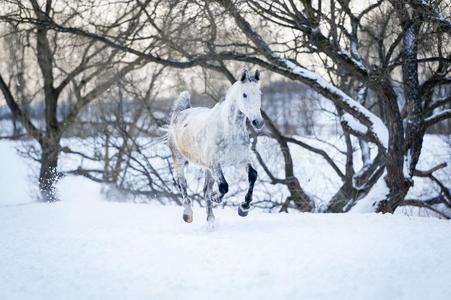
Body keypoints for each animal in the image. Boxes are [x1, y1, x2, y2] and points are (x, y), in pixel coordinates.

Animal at [168, 69, 264, 223]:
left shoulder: (240, 160)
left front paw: (244, 208)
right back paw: (188, 214)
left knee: (205, 190)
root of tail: (180, 113)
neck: (229, 130)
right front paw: (216, 198)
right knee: (182, 183)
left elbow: (253, 175)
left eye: (260, 94)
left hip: (207, 169)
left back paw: (211, 220)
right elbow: (224, 186)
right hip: (179, 159)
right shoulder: (215, 164)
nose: (258, 122)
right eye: (244, 94)